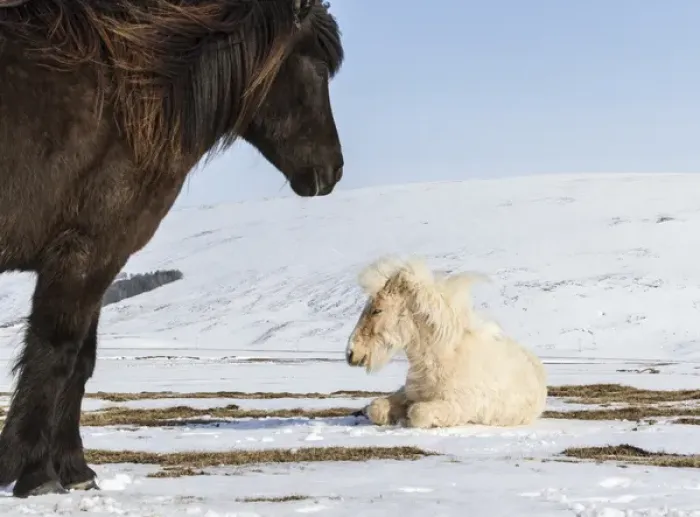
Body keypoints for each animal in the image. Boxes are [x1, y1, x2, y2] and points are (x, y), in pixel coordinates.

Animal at [0, 0, 344, 497]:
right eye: (317, 68)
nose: (332, 171)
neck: (129, 100)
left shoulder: (103, 259)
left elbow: (82, 360)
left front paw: (75, 469)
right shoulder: (87, 252)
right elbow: (55, 352)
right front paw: (35, 472)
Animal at [346, 257, 548, 429]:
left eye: (377, 310)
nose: (351, 353)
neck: (441, 360)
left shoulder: (456, 406)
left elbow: (417, 412)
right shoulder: (406, 394)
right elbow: (376, 408)